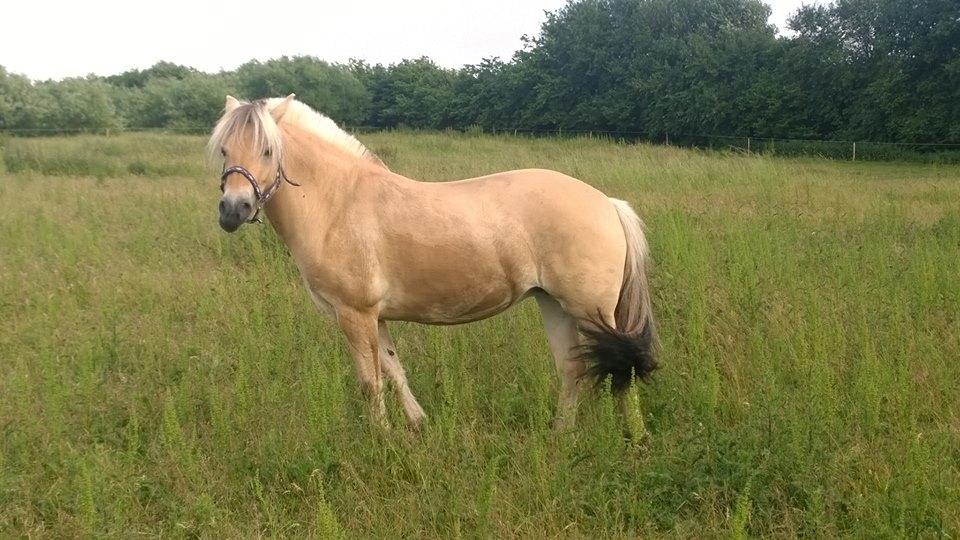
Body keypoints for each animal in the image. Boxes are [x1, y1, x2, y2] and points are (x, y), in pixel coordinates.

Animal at [210, 93, 660, 430]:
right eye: (224, 150)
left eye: (268, 149)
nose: (233, 210)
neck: (338, 203)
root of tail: (607, 203)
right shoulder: (375, 317)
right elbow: (394, 371)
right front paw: (416, 425)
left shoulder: (354, 314)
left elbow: (370, 382)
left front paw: (381, 440)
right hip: (554, 305)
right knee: (571, 368)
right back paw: (559, 436)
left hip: (592, 310)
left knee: (622, 368)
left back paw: (632, 439)